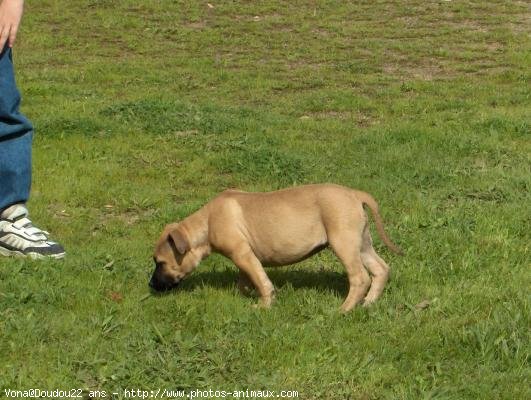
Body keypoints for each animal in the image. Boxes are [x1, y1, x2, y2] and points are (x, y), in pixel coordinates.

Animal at [151, 183, 404, 310]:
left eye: (160, 263)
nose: (151, 284)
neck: (206, 222)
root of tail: (354, 194)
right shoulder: (245, 257)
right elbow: (244, 281)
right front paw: (246, 295)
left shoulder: (242, 255)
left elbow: (262, 282)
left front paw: (263, 305)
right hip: (361, 243)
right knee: (381, 269)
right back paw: (368, 303)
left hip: (343, 243)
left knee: (360, 277)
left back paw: (344, 309)